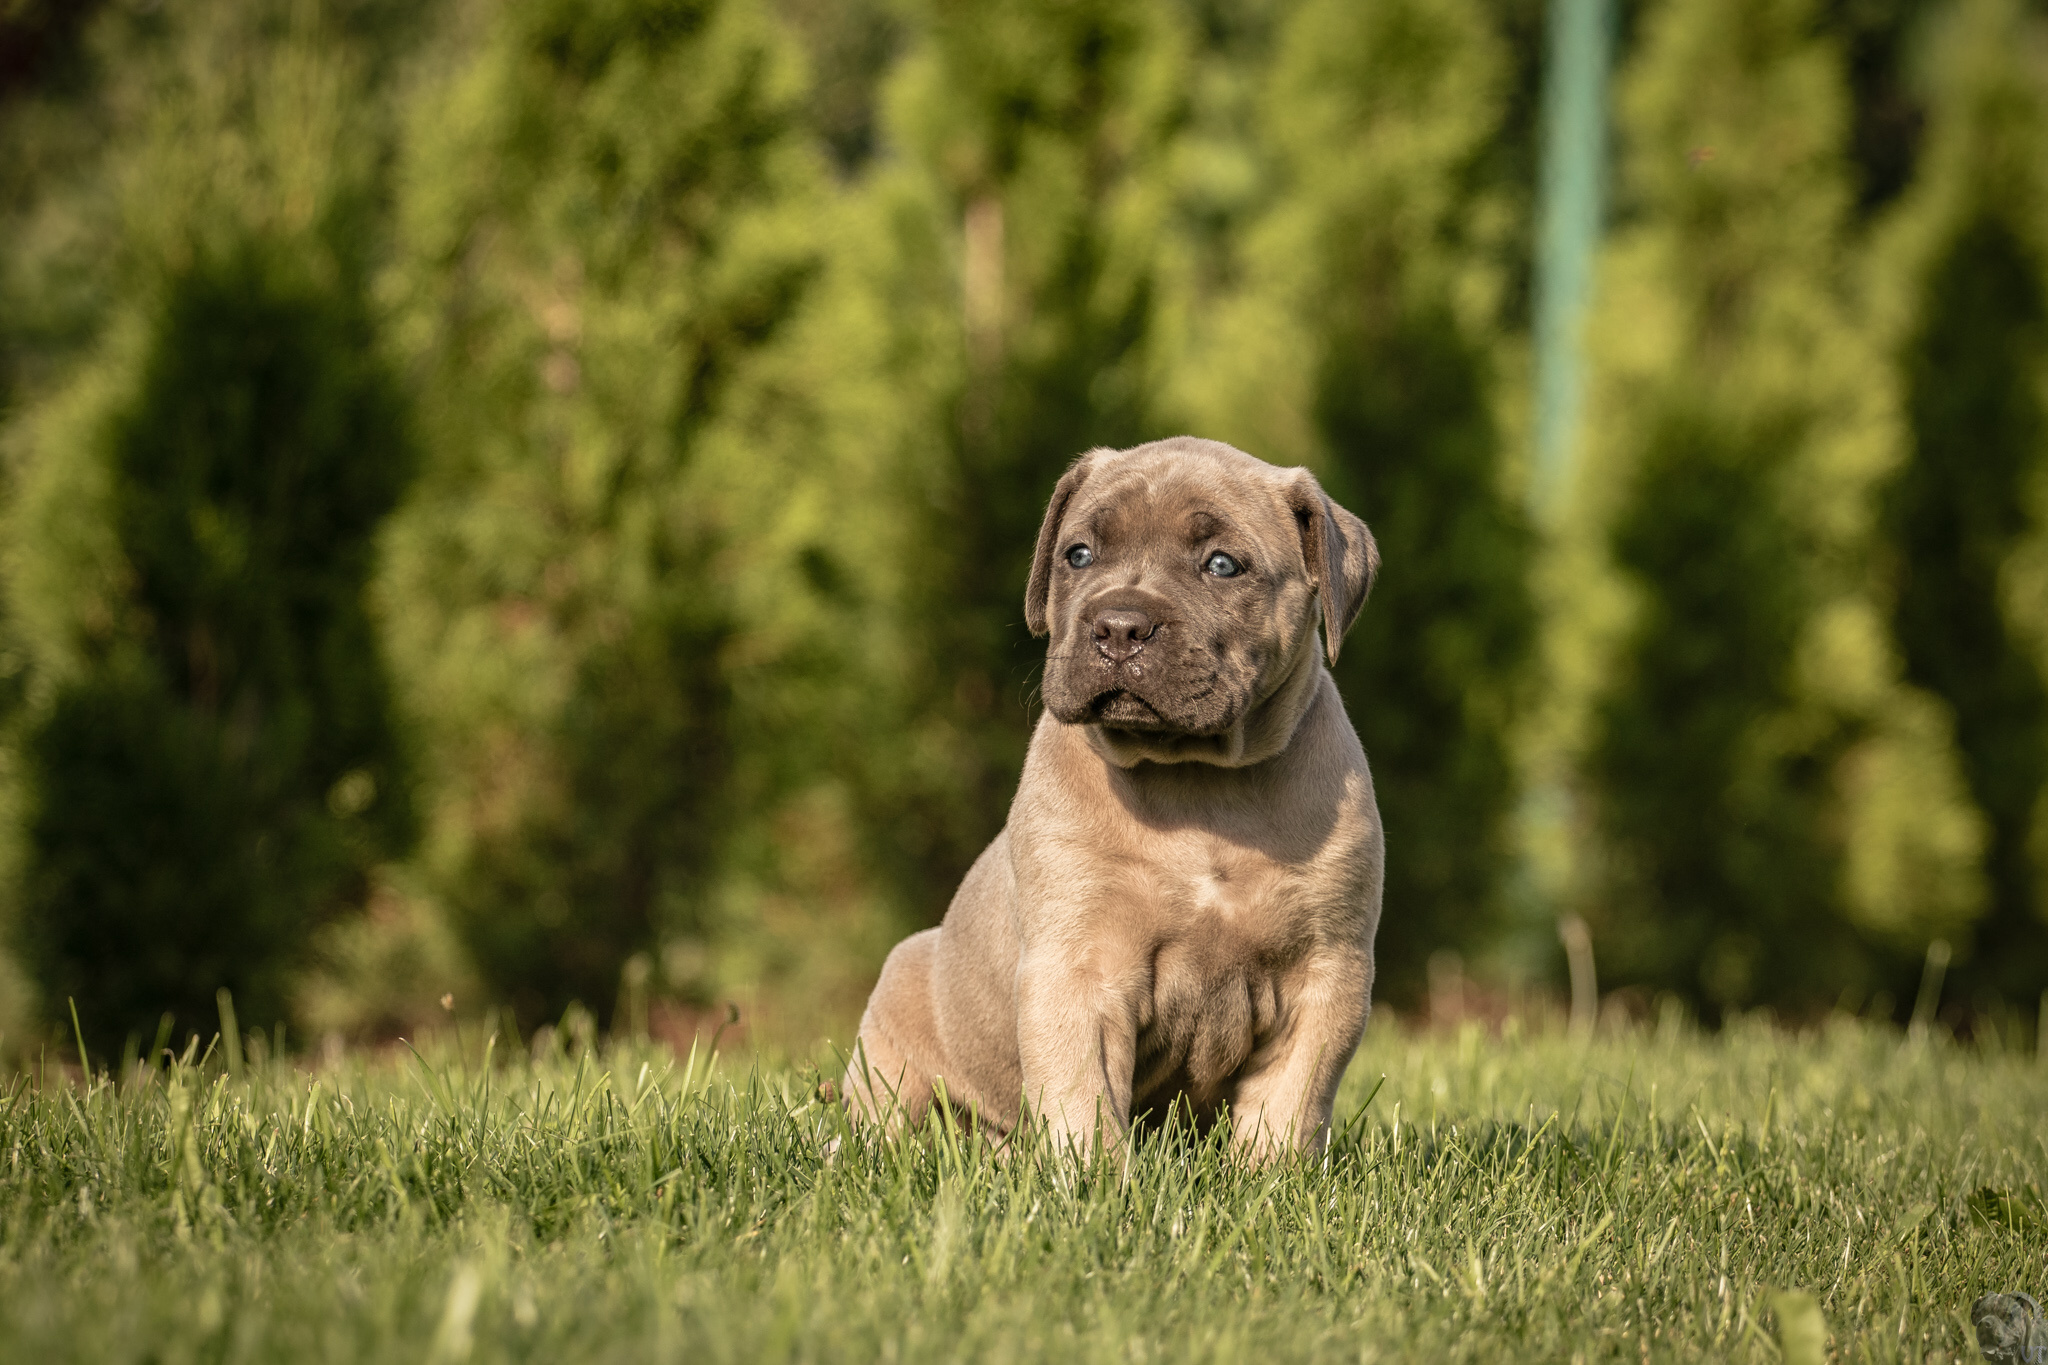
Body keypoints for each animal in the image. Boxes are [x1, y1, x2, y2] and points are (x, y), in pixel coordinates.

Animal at [844, 436, 1382, 1158]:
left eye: (1222, 565)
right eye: (1078, 555)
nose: (1120, 626)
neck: (1196, 782)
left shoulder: (1326, 975)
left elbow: (1288, 1105)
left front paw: (1271, 1177)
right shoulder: (1078, 972)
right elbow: (1084, 1102)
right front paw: (1091, 1177)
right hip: (895, 1031)